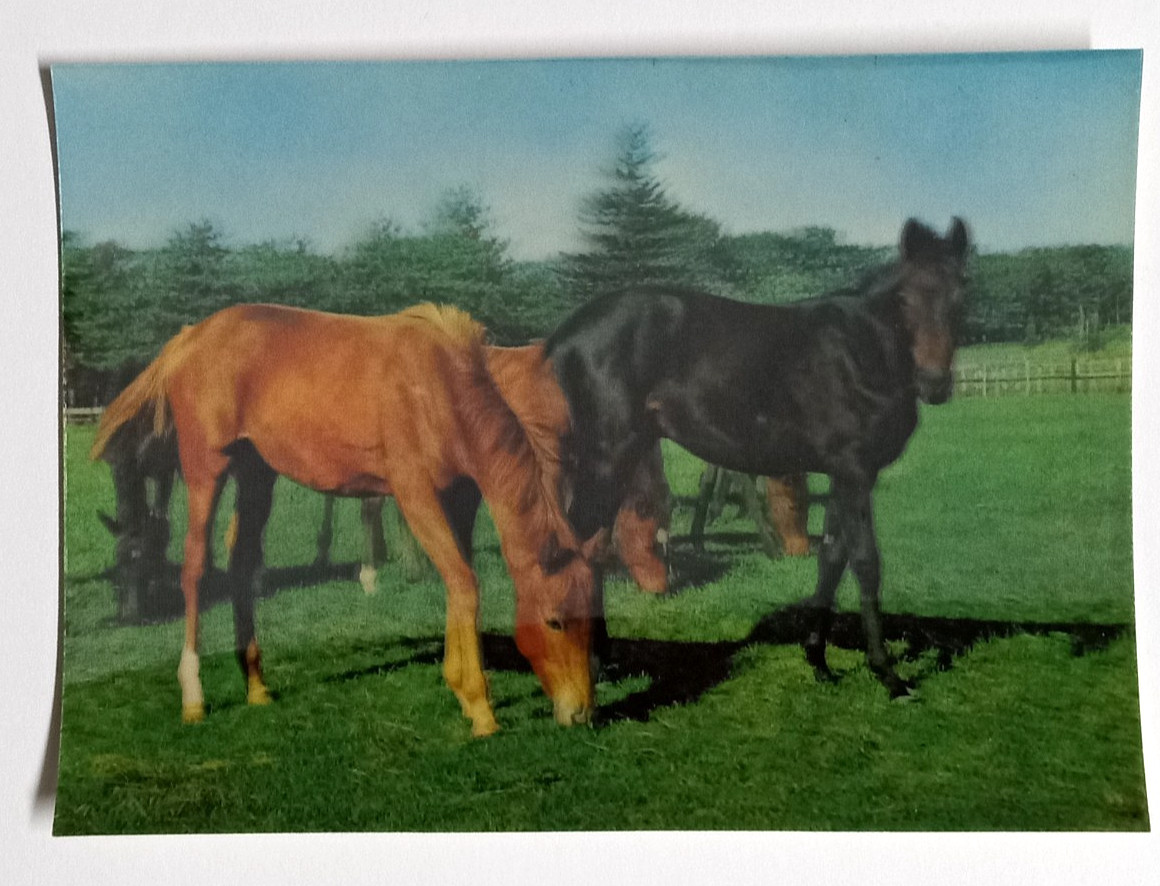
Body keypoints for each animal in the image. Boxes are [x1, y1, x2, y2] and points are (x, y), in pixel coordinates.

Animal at [90, 303, 599, 736]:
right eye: (555, 621)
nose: (580, 713)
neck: (438, 387)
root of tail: (190, 336)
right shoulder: (415, 495)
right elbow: (464, 582)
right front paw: (480, 706)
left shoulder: (458, 497)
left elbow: (461, 583)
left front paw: (463, 689)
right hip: (206, 469)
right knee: (195, 568)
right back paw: (193, 696)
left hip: (256, 472)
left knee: (241, 564)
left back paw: (256, 685)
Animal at [545, 218, 971, 698]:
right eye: (904, 299)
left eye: (961, 293)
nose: (935, 384)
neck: (860, 353)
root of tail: (563, 336)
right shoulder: (856, 471)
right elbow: (865, 562)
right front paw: (889, 674)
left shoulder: (841, 474)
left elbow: (831, 557)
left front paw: (819, 660)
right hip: (606, 459)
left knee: (593, 551)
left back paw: (603, 662)